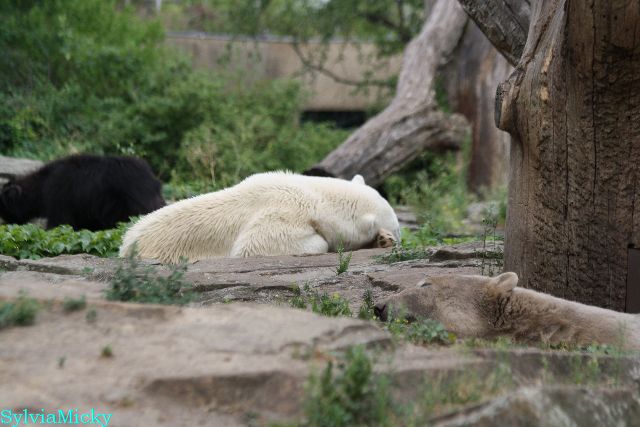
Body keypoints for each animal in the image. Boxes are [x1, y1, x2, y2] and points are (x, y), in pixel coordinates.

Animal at [0, 154, 165, 231]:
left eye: (3, 208)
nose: (4, 223)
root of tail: (154, 181)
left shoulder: (60, 196)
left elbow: (60, 222)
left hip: (131, 202)